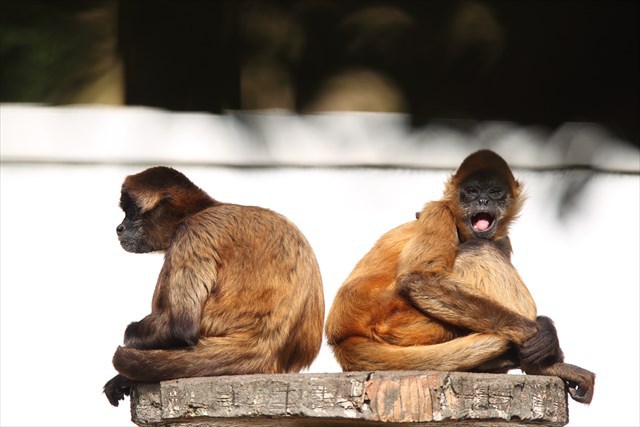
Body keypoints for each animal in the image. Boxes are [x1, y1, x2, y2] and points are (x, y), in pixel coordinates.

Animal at [105, 166, 328, 408]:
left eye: (131, 212)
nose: (119, 228)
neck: (206, 208)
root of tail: (266, 344)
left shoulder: (192, 231)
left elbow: (180, 327)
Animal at [324, 150, 596, 404]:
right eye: (472, 192)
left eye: (495, 192)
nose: (483, 199)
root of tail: (341, 335)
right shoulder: (438, 211)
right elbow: (419, 278)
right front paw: (540, 337)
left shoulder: (502, 238)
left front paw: (546, 330)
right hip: (397, 320)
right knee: (478, 248)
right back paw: (540, 365)